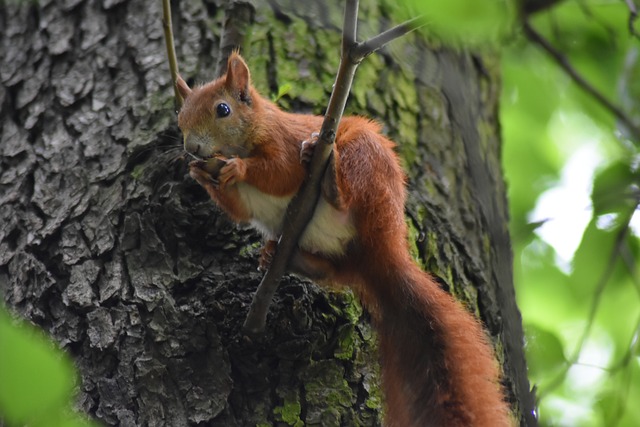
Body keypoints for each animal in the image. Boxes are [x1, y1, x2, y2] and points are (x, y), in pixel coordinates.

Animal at [176, 53, 516, 427]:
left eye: (223, 109)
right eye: (180, 117)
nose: (192, 148)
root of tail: (384, 254)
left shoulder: (284, 141)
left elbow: (280, 172)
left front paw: (238, 167)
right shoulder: (244, 199)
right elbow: (238, 208)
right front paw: (200, 174)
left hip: (366, 160)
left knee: (347, 188)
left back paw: (332, 186)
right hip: (340, 252)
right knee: (328, 271)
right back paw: (285, 256)